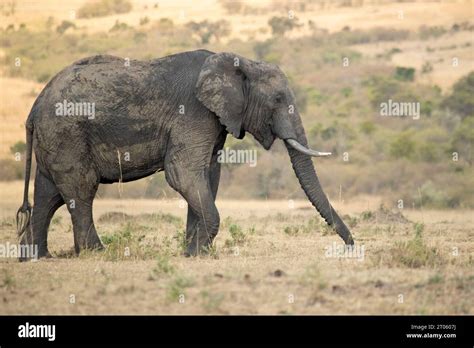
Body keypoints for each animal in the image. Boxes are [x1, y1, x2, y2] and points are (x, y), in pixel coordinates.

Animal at [16, 50, 354, 260]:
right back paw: (96, 253)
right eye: (278, 99)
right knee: (80, 189)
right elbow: (183, 173)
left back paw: (37, 257)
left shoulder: (215, 119)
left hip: (55, 137)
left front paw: (193, 253)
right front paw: (200, 251)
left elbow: (207, 176)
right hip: (66, 133)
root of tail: (34, 107)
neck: (238, 61)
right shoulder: (193, 112)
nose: (351, 246)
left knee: (49, 195)